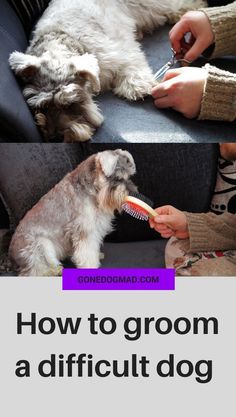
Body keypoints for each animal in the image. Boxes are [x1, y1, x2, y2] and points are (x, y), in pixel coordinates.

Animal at [8, 0, 206, 142]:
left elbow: (131, 63)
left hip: (149, 5)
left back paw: (194, 10)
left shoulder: (116, 51)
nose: (55, 137)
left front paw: (136, 85)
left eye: (70, 104)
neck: (60, 39)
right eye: (41, 107)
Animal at [9, 150, 137, 276]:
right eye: (118, 178)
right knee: (36, 270)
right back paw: (55, 270)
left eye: (129, 176)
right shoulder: (84, 230)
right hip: (41, 245)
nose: (132, 192)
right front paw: (90, 266)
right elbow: (86, 252)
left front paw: (97, 255)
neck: (92, 190)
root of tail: (11, 253)